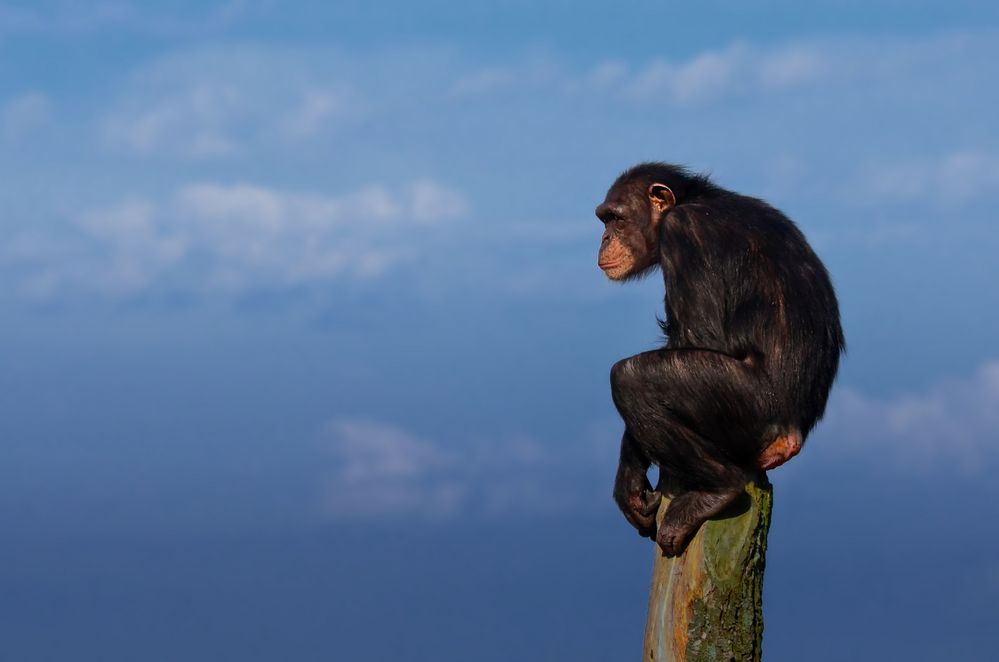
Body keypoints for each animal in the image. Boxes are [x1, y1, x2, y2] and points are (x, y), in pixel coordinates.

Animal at [600, 163, 844, 556]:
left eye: (617, 219)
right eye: (604, 219)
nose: (605, 238)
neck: (690, 200)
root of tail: (793, 435)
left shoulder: (684, 232)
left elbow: (700, 336)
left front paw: (630, 465)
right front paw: (631, 482)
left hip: (750, 411)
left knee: (629, 377)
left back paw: (717, 491)